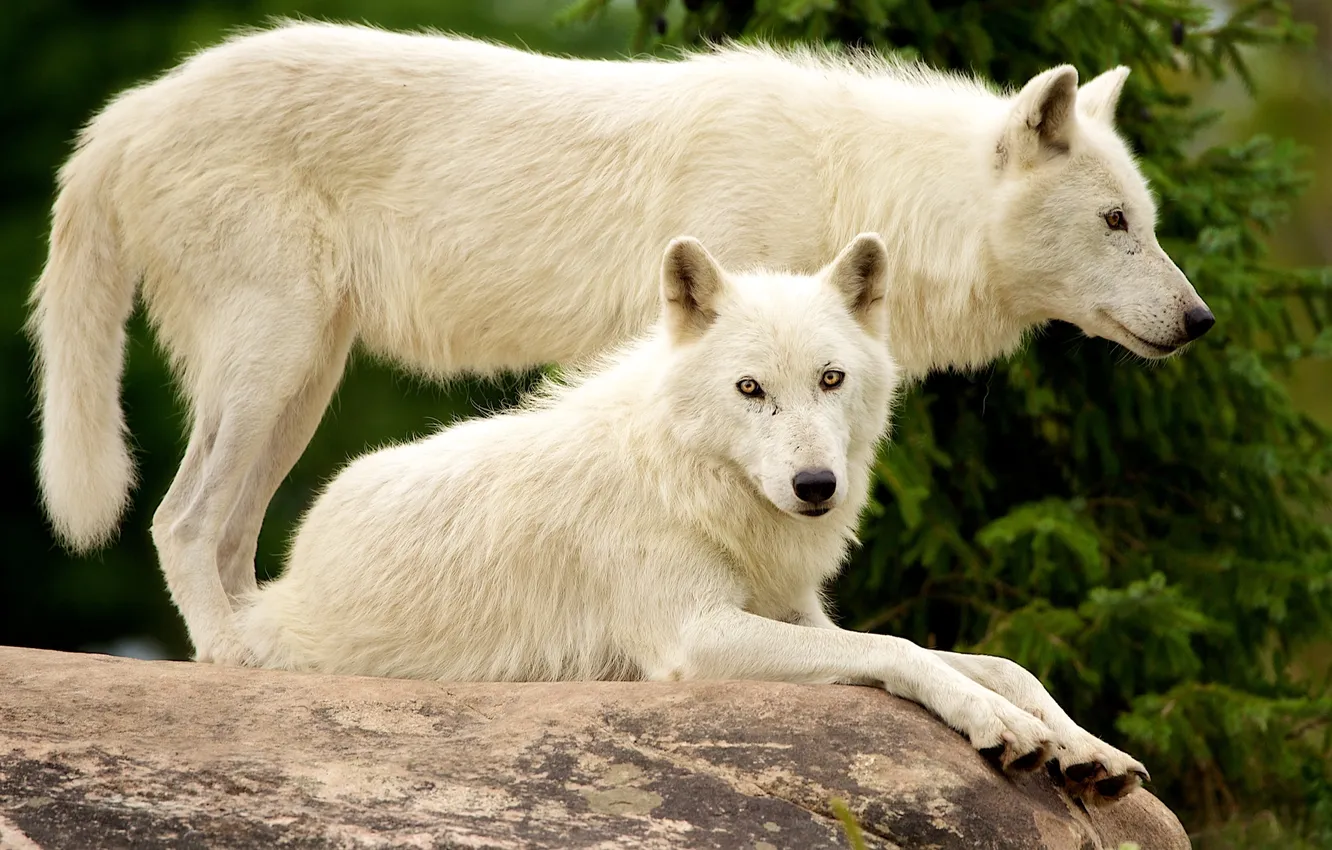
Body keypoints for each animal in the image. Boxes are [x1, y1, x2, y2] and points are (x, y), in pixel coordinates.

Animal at [29, 21, 1213, 666]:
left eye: (1148, 223)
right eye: (1116, 222)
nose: (1202, 321)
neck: (855, 180)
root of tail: (123, 114)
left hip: (302, 380)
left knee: (227, 535)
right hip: (274, 365)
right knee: (180, 521)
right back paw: (238, 652)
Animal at [234, 233, 1149, 801]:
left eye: (831, 379)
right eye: (750, 389)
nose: (815, 485)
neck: (692, 479)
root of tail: (290, 568)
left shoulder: (803, 616)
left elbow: (1000, 664)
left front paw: (1085, 747)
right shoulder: (696, 635)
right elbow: (898, 649)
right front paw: (997, 724)